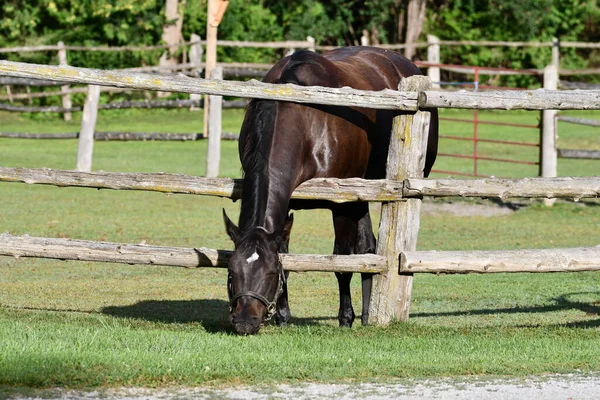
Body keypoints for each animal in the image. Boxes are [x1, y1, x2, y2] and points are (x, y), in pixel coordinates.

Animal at [223, 46, 438, 334]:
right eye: (232, 271)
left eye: (269, 273)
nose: (245, 321)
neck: (306, 122)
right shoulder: (288, 207)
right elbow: (288, 260)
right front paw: (283, 316)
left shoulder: (341, 205)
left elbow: (341, 263)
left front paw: (346, 318)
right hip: (361, 198)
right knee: (369, 248)